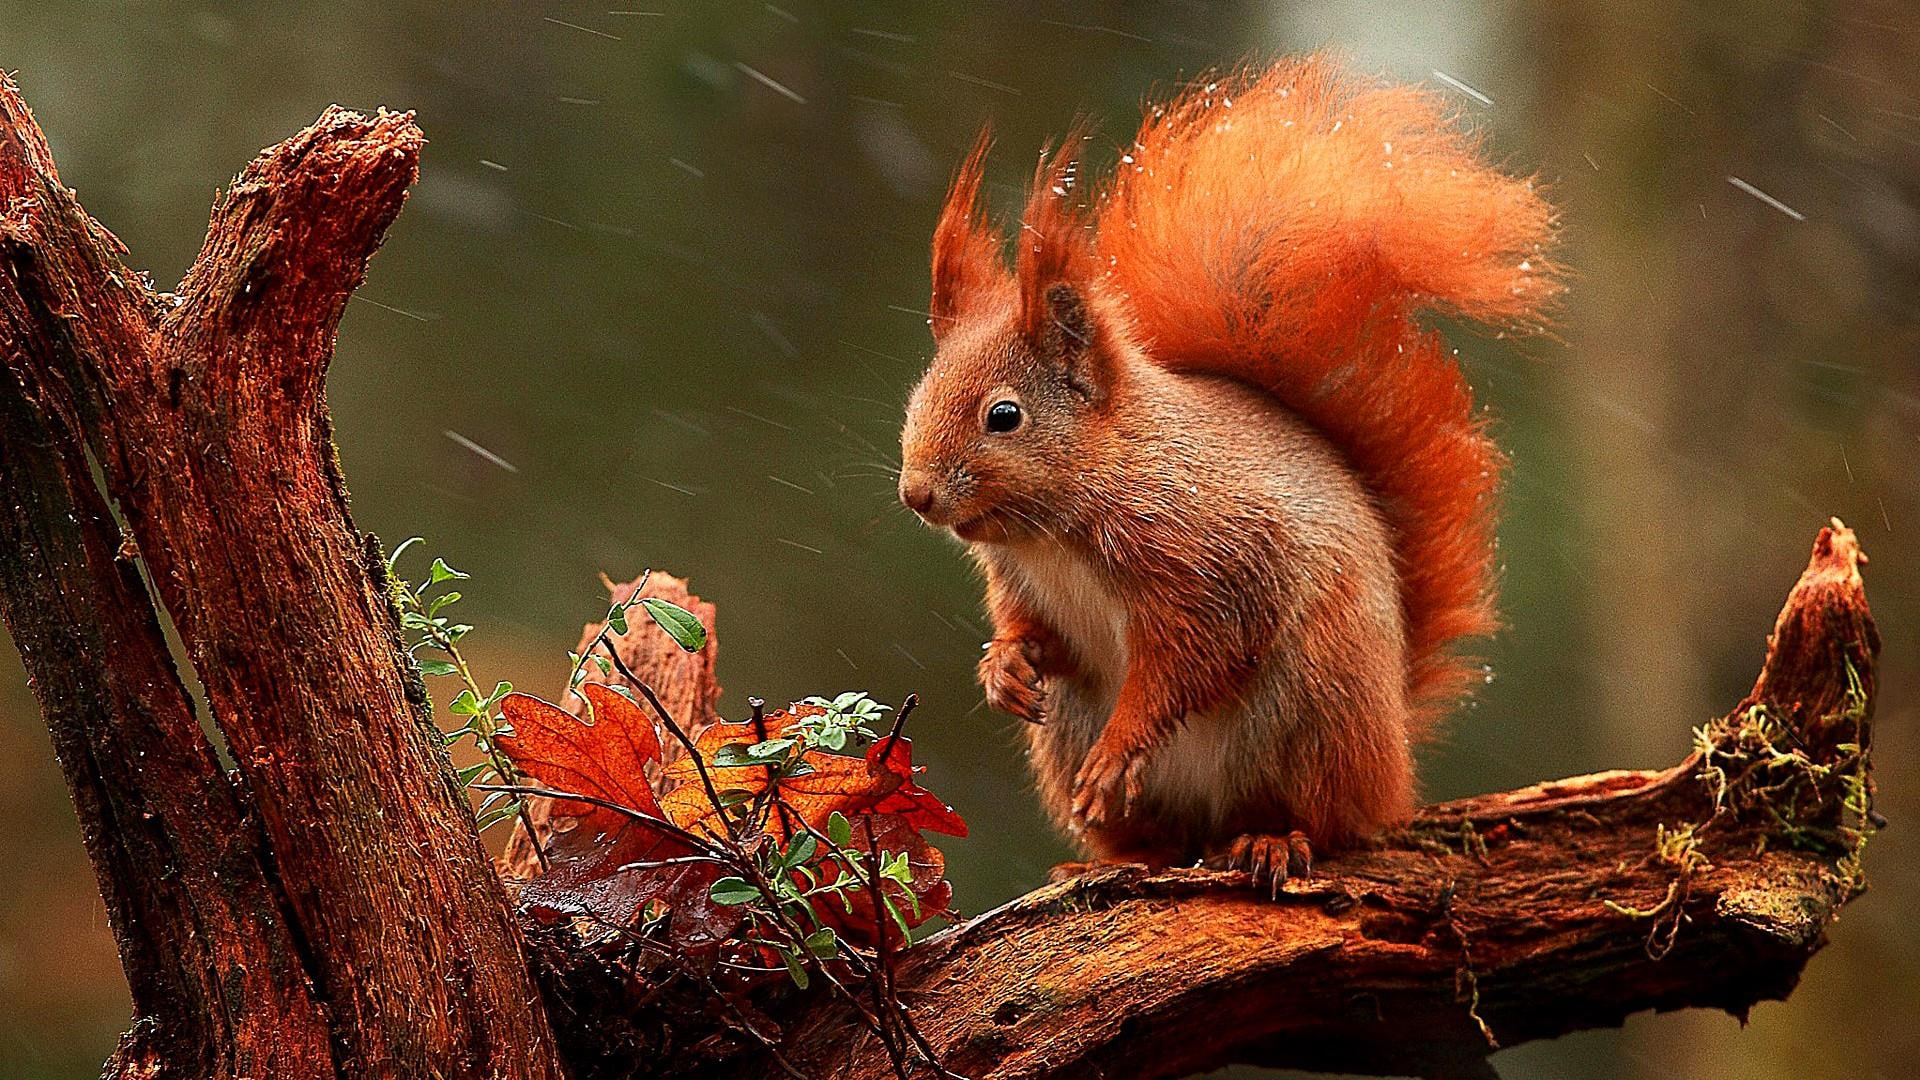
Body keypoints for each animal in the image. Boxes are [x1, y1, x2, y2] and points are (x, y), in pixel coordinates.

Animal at [898, 55, 1558, 890]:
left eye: (1004, 416)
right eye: (918, 394)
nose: (915, 494)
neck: (1057, 530)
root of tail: (1391, 764)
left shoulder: (1211, 561)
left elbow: (1189, 660)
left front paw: (1122, 745)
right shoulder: (1025, 584)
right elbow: (1033, 631)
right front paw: (1005, 667)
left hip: (1305, 712)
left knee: (1315, 820)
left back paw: (1268, 841)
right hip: (1076, 728)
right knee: (1166, 835)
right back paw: (1119, 857)